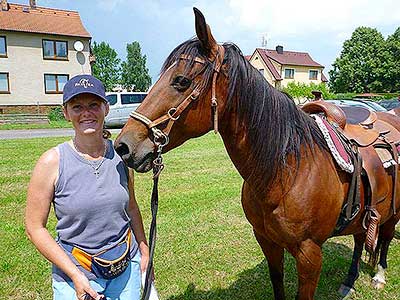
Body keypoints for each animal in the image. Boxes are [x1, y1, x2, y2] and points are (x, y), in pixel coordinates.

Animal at [115, 8, 400, 298]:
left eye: (181, 81)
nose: (123, 145)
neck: (286, 173)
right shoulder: (267, 241)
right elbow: (277, 283)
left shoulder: (310, 255)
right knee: (359, 239)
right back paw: (349, 281)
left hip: (393, 213)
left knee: (386, 237)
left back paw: (379, 275)